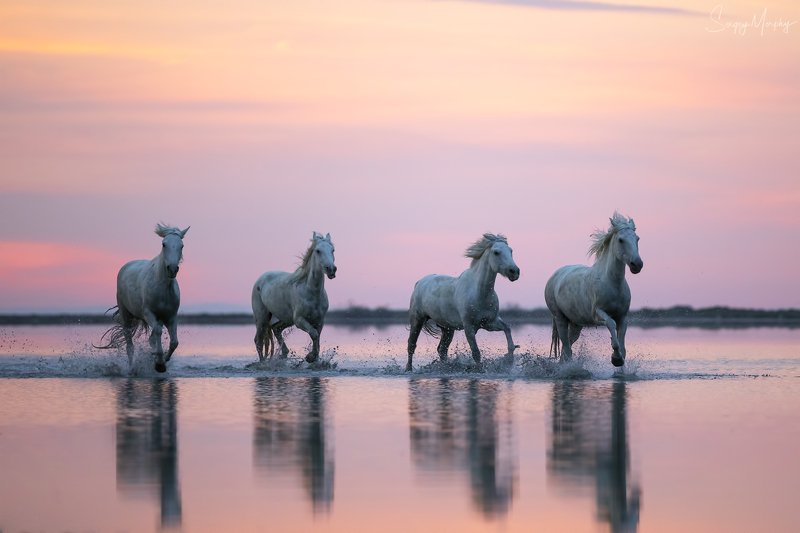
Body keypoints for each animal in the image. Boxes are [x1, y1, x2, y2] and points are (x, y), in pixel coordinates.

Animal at [95, 223, 190, 373]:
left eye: (182, 245)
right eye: (164, 244)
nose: (172, 269)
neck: (162, 288)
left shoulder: (171, 317)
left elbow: (174, 342)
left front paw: (162, 361)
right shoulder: (148, 313)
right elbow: (157, 332)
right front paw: (159, 363)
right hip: (126, 315)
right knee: (129, 345)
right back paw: (131, 369)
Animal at [252, 232, 337, 363]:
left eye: (332, 250)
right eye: (318, 251)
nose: (331, 269)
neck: (312, 292)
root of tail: (260, 279)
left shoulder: (320, 321)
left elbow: (317, 339)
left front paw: (314, 359)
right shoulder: (299, 320)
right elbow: (314, 334)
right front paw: (309, 357)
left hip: (286, 319)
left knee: (276, 329)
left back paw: (284, 353)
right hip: (262, 318)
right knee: (259, 341)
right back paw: (263, 363)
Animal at [406, 233, 520, 372]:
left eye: (511, 251)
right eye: (496, 252)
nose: (514, 272)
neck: (479, 293)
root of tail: (419, 282)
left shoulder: (489, 323)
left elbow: (507, 329)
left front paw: (509, 359)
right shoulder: (469, 326)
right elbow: (476, 352)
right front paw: (480, 370)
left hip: (447, 328)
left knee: (442, 349)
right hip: (417, 320)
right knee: (412, 345)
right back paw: (408, 369)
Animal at [544, 212, 643, 367]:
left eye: (637, 238)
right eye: (620, 240)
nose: (637, 265)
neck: (612, 283)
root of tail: (554, 276)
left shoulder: (623, 317)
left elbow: (623, 346)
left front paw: (619, 360)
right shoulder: (598, 313)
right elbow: (611, 324)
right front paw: (615, 358)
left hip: (576, 324)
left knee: (567, 349)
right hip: (560, 318)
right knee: (567, 348)